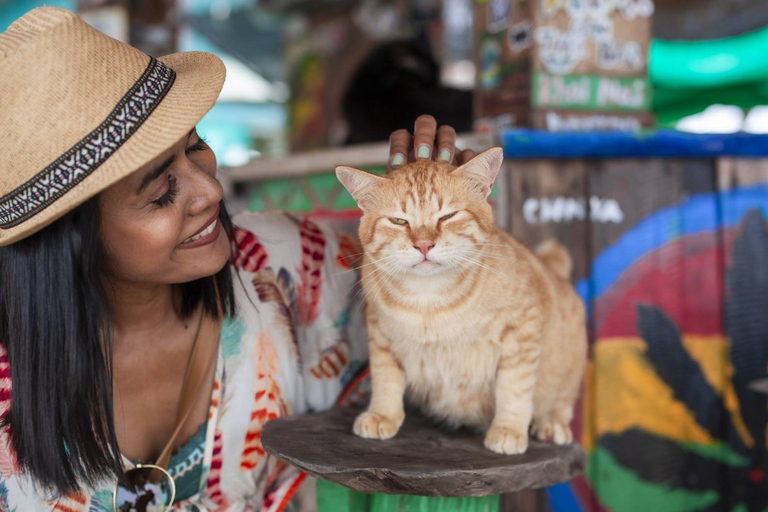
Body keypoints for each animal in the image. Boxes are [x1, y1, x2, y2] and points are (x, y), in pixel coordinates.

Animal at [336, 148, 588, 452]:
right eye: (398, 221)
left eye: (448, 216)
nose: (423, 245)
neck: (429, 302)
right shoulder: (379, 332)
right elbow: (385, 377)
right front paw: (383, 413)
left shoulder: (523, 328)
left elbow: (514, 387)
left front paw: (508, 428)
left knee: (562, 399)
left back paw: (551, 422)